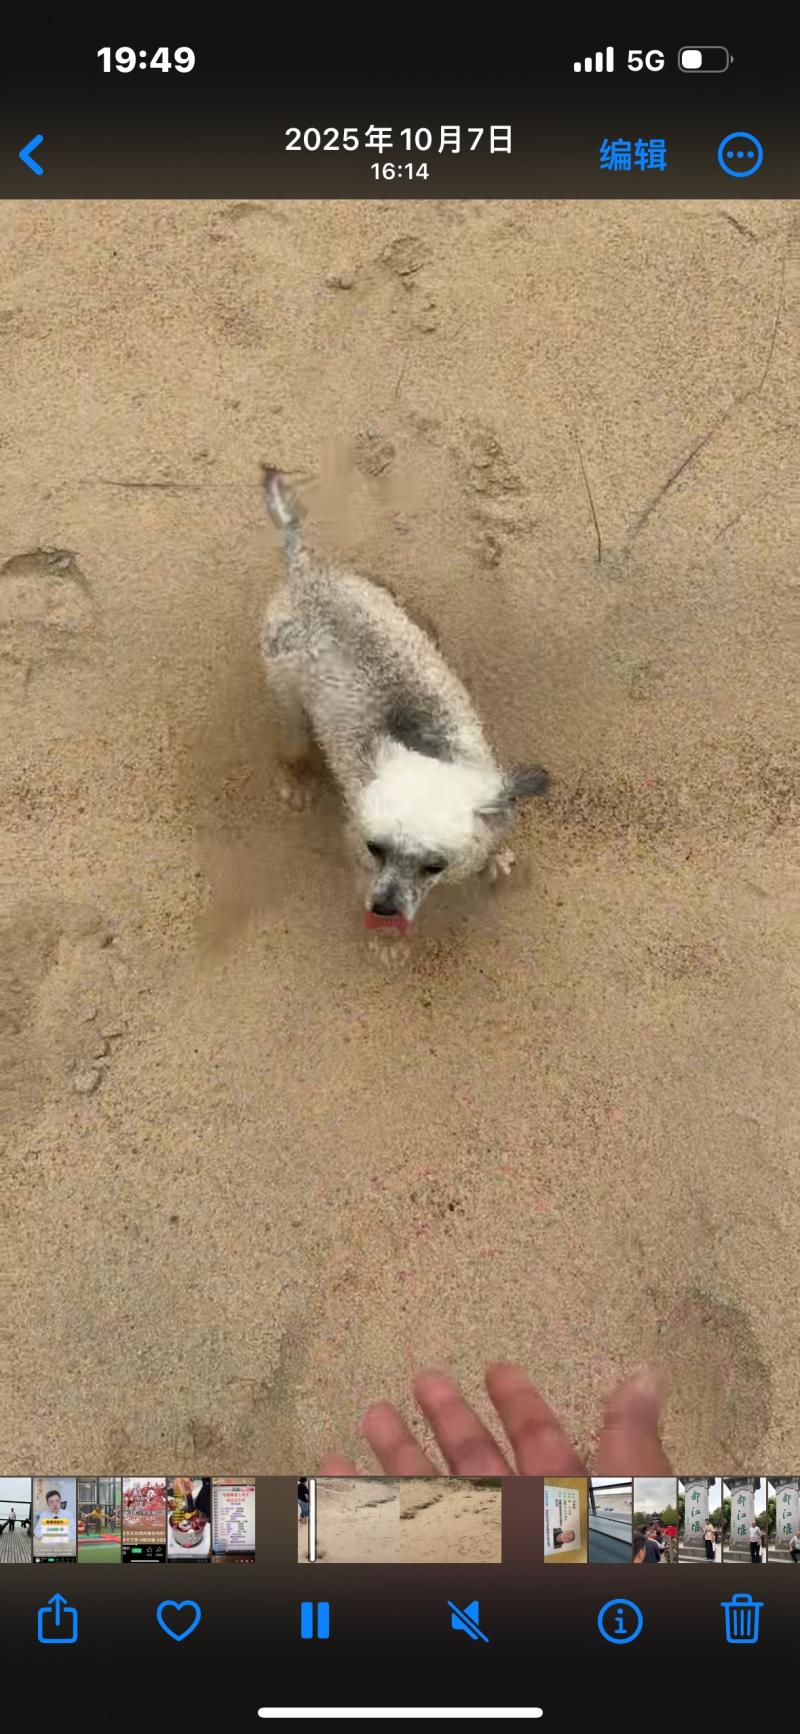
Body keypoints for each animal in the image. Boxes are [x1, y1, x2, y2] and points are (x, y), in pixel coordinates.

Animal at [260, 467, 548, 928]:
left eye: (435, 865)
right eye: (374, 849)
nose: (384, 908)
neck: (429, 752)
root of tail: (303, 572)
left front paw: (493, 858)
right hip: (286, 696)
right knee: (291, 743)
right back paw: (296, 781)